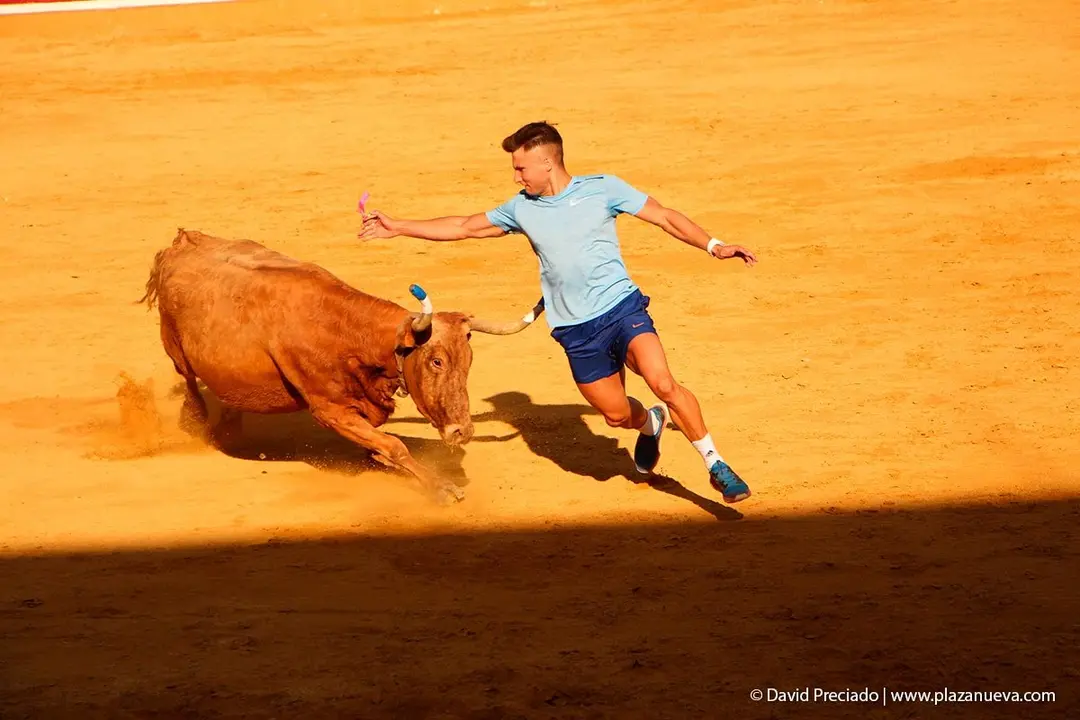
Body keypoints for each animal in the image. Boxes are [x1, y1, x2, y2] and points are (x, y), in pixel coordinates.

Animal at [137, 228, 544, 505]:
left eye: (469, 360)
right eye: (436, 360)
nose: (463, 431)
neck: (343, 329)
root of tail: (180, 243)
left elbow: (383, 444)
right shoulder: (330, 411)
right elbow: (394, 445)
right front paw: (442, 487)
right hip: (174, 347)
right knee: (190, 383)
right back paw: (196, 424)